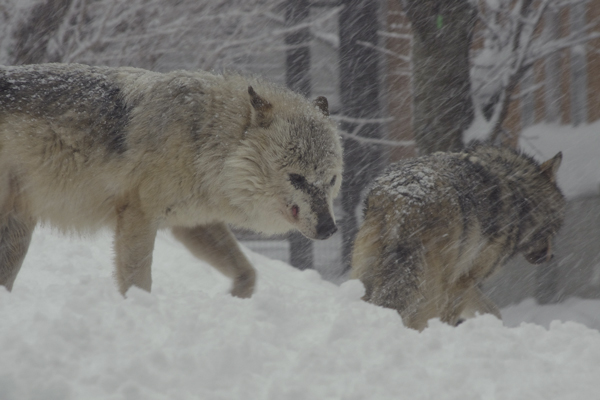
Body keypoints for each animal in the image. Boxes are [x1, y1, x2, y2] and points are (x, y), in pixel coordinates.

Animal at [0, 63, 342, 296]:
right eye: (297, 178)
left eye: (331, 180)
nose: (330, 228)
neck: (203, 140)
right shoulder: (138, 218)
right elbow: (138, 284)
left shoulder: (193, 223)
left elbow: (248, 274)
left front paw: (234, 300)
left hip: (18, 230)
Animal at [350, 144, 564, 332]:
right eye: (556, 226)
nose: (551, 256)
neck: (521, 198)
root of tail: (405, 198)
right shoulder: (464, 281)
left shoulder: (465, 280)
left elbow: (493, 312)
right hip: (429, 289)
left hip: (367, 276)